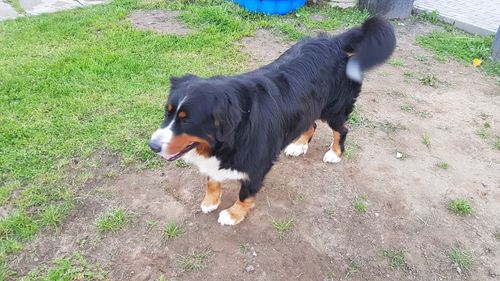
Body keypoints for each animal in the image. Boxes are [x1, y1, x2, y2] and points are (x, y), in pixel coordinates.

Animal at [148, 15, 394, 225]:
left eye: (187, 120)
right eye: (167, 112)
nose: (152, 146)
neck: (236, 130)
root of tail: (334, 41)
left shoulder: (258, 164)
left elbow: (245, 194)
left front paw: (233, 215)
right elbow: (212, 180)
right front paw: (211, 201)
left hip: (333, 109)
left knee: (341, 130)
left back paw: (334, 153)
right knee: (311, 124)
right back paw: (298, 146)